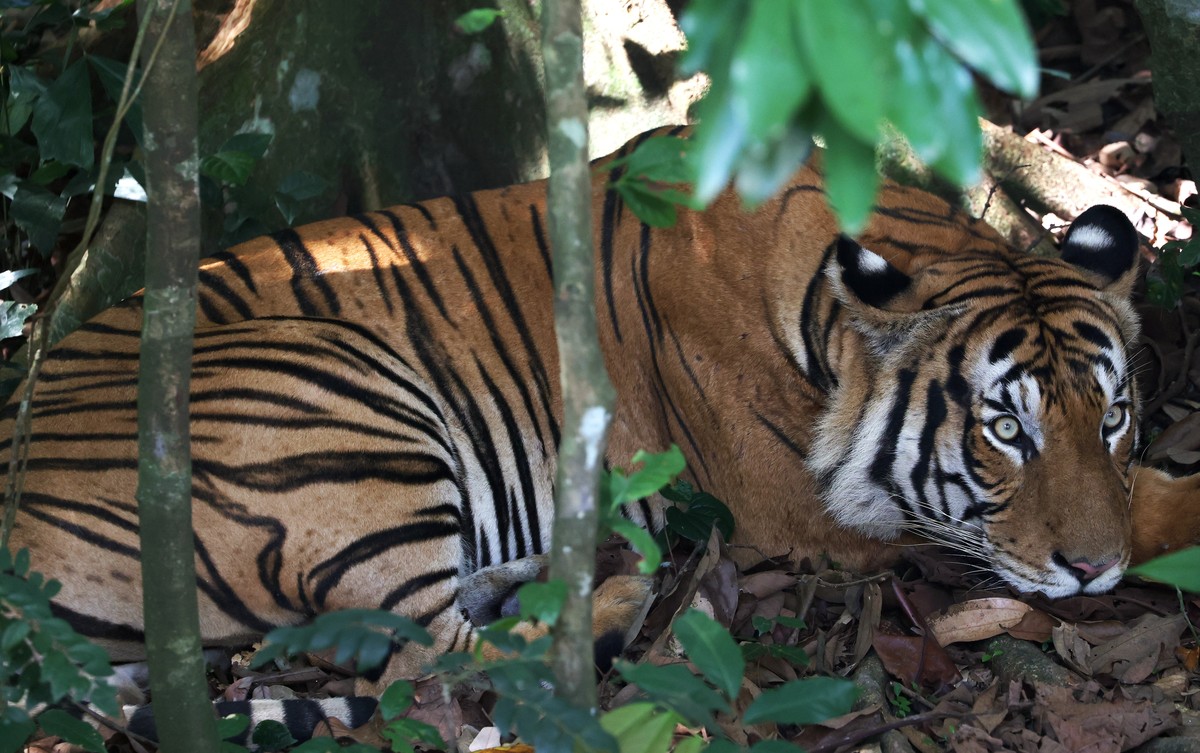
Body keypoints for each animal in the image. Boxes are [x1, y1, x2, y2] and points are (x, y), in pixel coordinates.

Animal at [3, 126, 1191, 737]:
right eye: (1004, 430)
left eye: (1113, 415)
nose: (1091, 572)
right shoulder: (805, 508)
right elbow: (1161, 507)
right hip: (344, 401)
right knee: (419, 658)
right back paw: (616, 604)